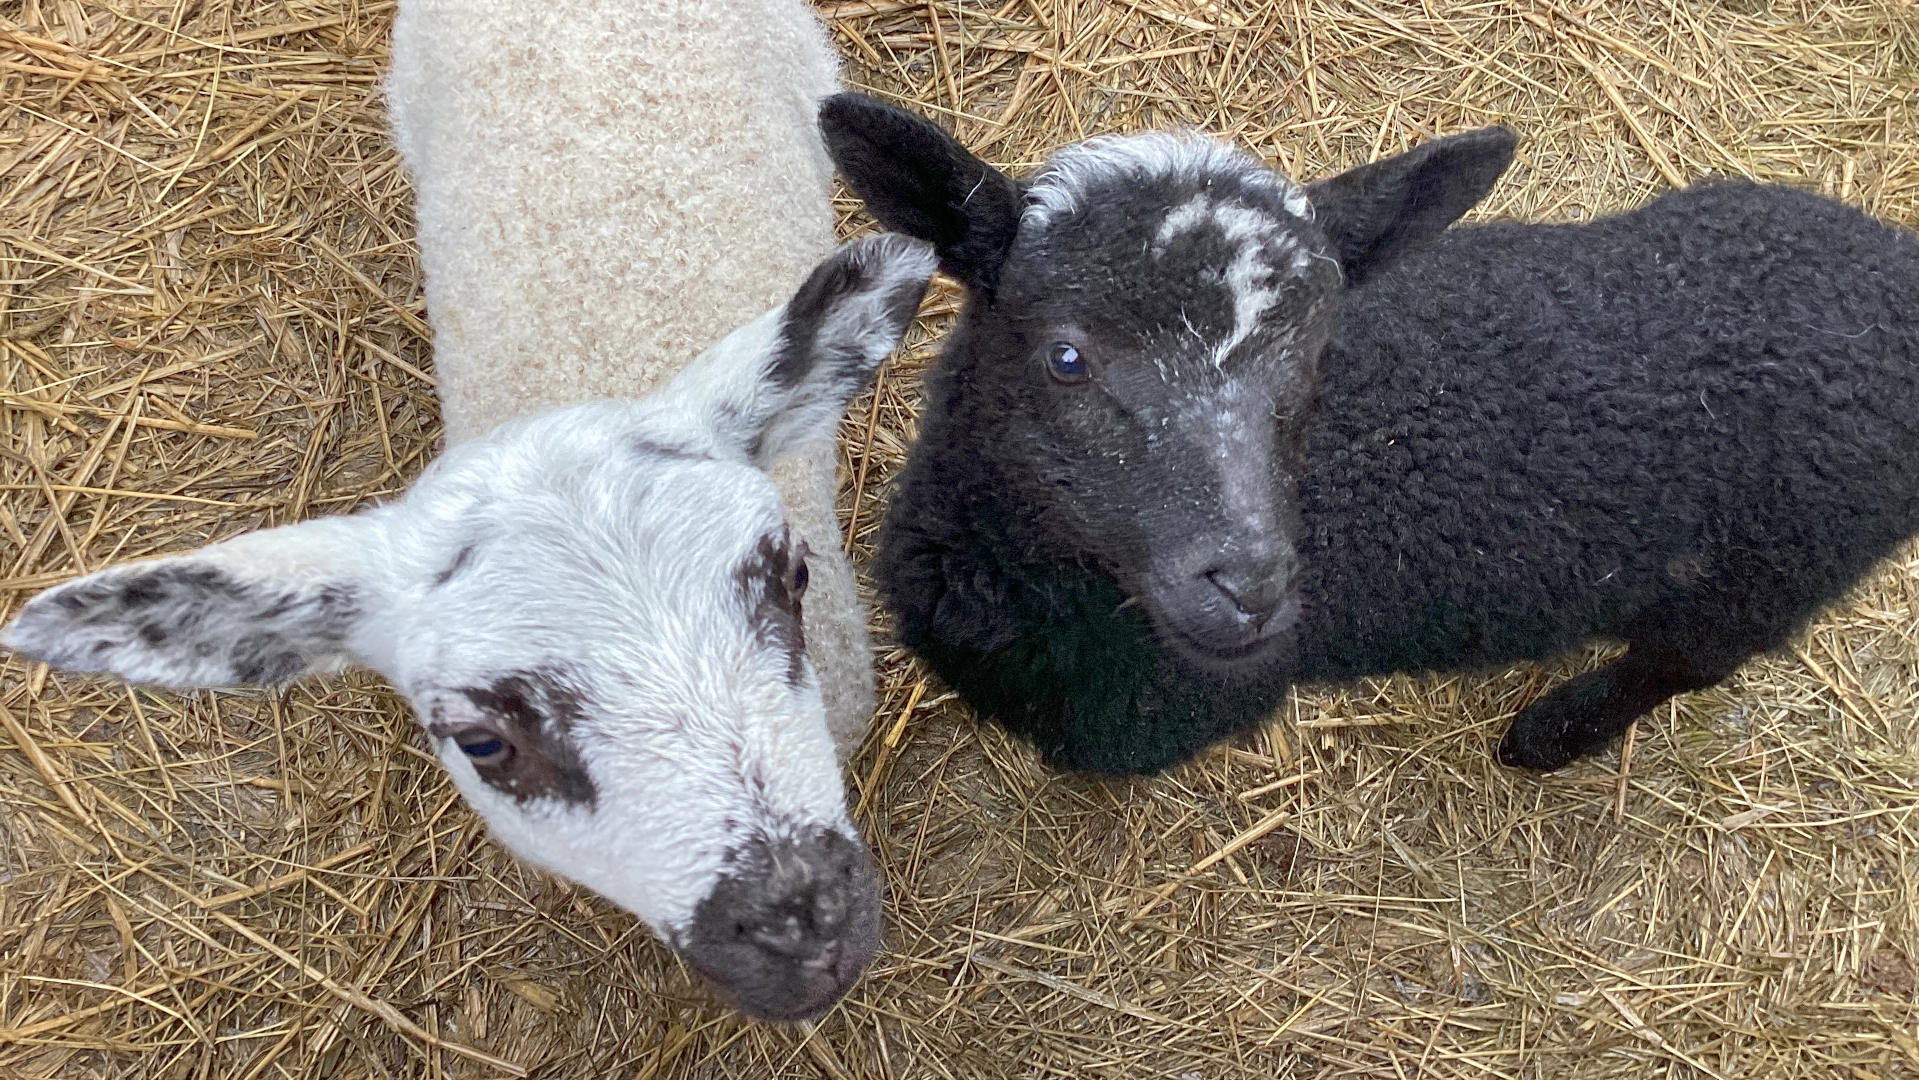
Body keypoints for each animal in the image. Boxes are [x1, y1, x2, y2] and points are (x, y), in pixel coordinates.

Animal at [817, 93, 1919, 777]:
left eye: (1312, 361)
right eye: (1065, 357)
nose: (1252, 589)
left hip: (1770, 572)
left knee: (1680, 662)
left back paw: (1551, 734)